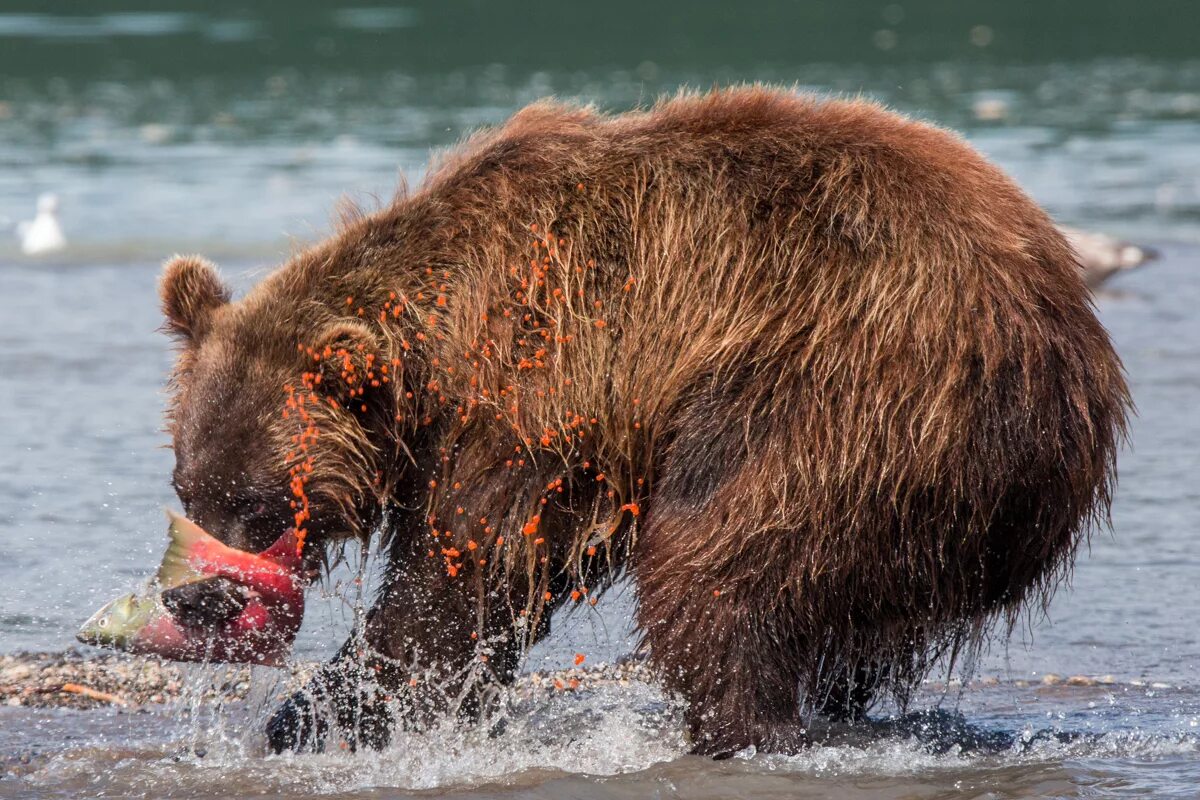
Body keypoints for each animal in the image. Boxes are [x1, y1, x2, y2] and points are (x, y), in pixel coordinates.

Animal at [157, 87, 1123, 758]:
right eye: (188, 486)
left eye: (260, 502)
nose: (194, 597)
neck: (435, 355)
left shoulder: (533, 393)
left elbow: (460, 578)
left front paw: (320, 716)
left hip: (844, 388)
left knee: (718, 559)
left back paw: (744, 727)